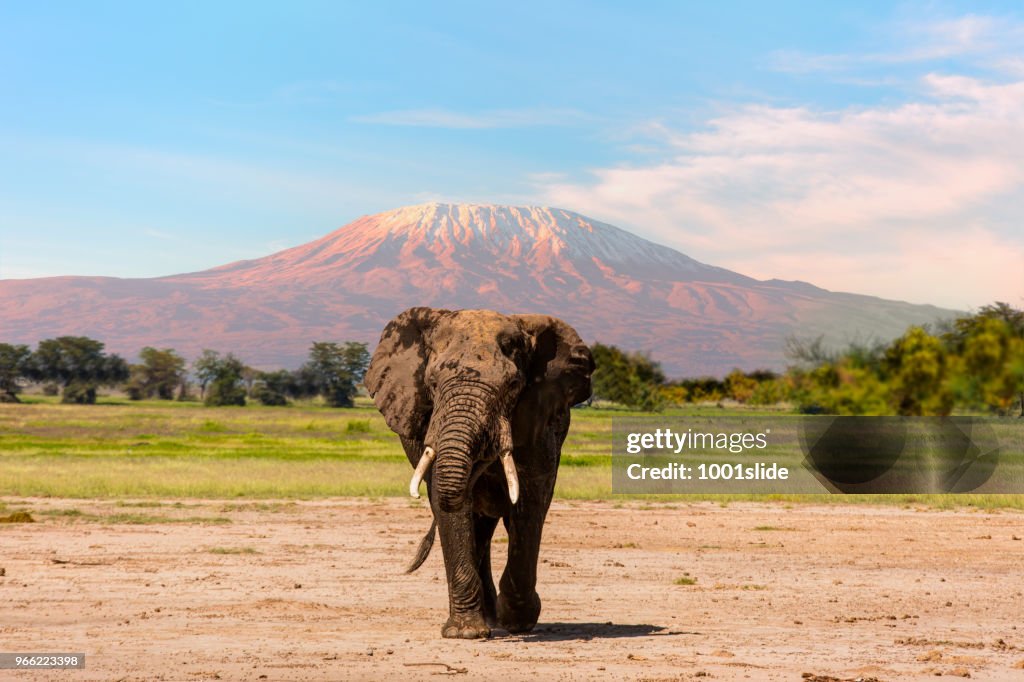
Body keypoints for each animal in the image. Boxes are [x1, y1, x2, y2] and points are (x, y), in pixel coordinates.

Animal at [366, 305, 593, 634]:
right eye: (432, 384)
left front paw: (517, 620)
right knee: (478, 526)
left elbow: (529, 501)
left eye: (513, 386)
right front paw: (465, 632)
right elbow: (448, 500)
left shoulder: (539, 420)